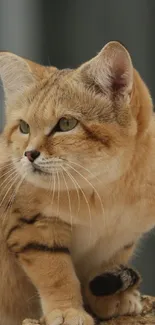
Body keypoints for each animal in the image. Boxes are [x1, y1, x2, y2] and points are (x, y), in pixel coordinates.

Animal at [0, 41, 155, 324]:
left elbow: (103, 268)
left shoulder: (121, 238)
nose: (29, 154)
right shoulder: (33, 227)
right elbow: (57, 274)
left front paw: (110, 300)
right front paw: (66, 310)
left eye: (66, 123)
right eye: (24, 127)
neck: (105, 191)